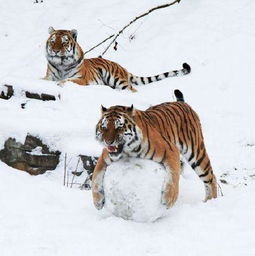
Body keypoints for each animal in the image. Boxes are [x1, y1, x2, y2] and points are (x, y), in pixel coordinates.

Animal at [44, 26, 191, 91]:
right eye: (53, 41)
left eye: (64, 42)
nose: (55, 51)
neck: (61, 64)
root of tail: (123, 67)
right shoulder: (49, 76)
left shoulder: (81, 79)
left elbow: (67, 80)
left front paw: (60, 84)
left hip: (116, 78)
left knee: (132, 90)